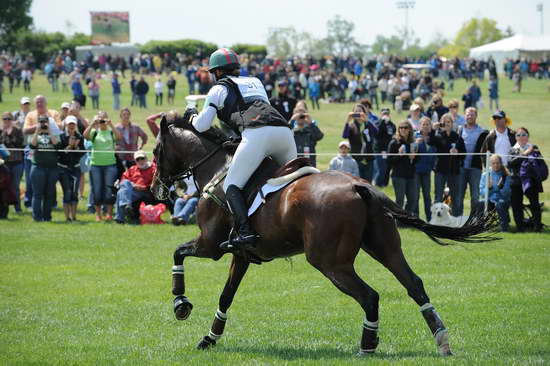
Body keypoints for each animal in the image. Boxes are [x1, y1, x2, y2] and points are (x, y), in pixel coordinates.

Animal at [151, 113, 500, 356]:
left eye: (156, 150)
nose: (157, 189)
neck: (217, 168)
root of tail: (359, 185)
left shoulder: (210, 245)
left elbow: (178, 253)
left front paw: (181, 303)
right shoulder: (241, 254)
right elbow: (226, 295)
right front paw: (209, 338)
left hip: (329, 262)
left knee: (370, 296)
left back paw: (367, 346)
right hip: (384, 248)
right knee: (414, 284)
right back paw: (441, 339)